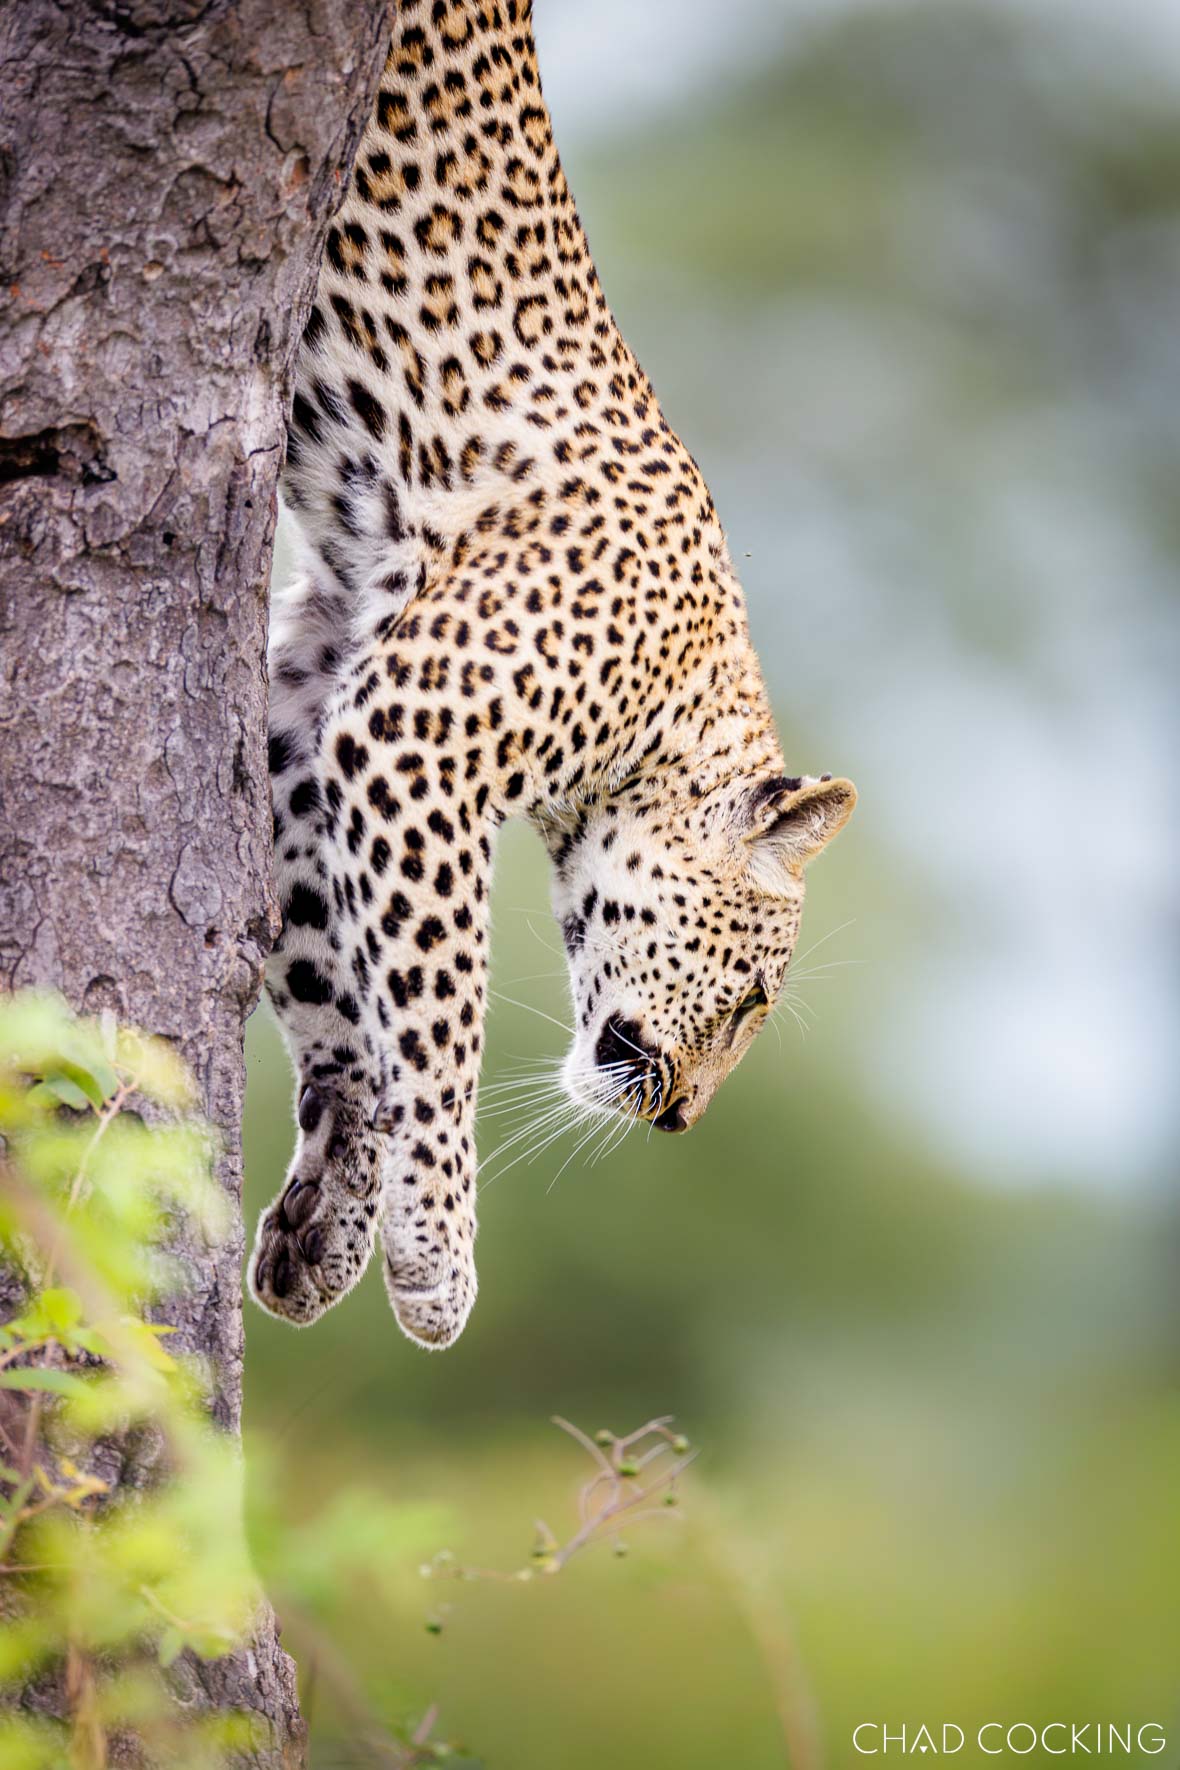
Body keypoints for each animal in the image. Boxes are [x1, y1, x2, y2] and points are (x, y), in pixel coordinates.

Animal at [249, 0, 857, 1350]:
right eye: (751, 1003)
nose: (681, 1119)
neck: (676, 704)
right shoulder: (414, 739)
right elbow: (441, 1017)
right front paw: (435, 1256)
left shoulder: (315, 699)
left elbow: (325, 972)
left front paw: (330, 1224)